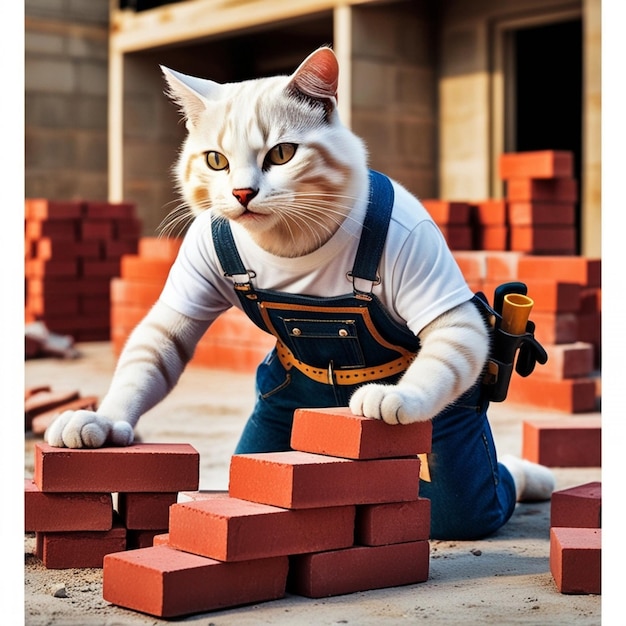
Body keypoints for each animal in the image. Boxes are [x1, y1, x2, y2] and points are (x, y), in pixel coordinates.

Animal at [45, 47, 552, 532]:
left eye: (282, 154)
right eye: (215, 160)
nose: (242, 194)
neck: (291, 240)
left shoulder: (426, 264)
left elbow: (448, 348)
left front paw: (396, 397)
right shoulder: (192, 270)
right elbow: (148, 355)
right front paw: (102, 420)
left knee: (478, 493)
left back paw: (534, 477)